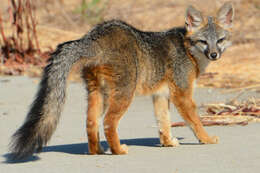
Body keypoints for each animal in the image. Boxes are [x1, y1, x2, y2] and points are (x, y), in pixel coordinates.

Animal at [9, 2, 235, 159]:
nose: (214, 54)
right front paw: (207, 139)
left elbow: (164, 123)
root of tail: (93, 36)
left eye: (220, 40)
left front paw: (168, 142)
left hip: (98, 93)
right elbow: (195, 121)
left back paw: (97, 151)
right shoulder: (182, 94)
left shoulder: (161, 95)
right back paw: (118, 150)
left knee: (91, 122)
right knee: (109, 123)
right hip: (125, 94)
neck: (187, 49)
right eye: (203, 41)